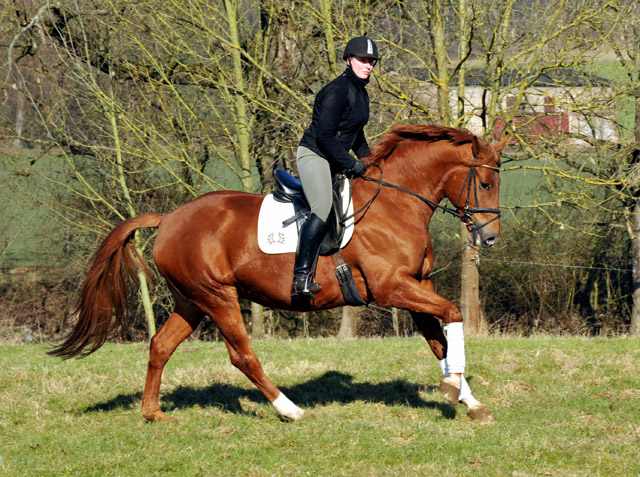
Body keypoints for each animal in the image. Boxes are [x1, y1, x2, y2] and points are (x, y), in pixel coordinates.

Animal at [50, 124, 508, 422]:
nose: (490, 238)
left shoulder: (416, 285)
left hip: (191, 300)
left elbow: (438, 340)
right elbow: (453, 315)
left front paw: (468, 399)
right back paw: (289, 409)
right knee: (242, 355)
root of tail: (169, 219)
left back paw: (153, 413)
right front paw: (454, 388)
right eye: (486, 184)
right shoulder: (392, 287)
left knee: (160, 346)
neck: (396, 203)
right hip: (218, 296)